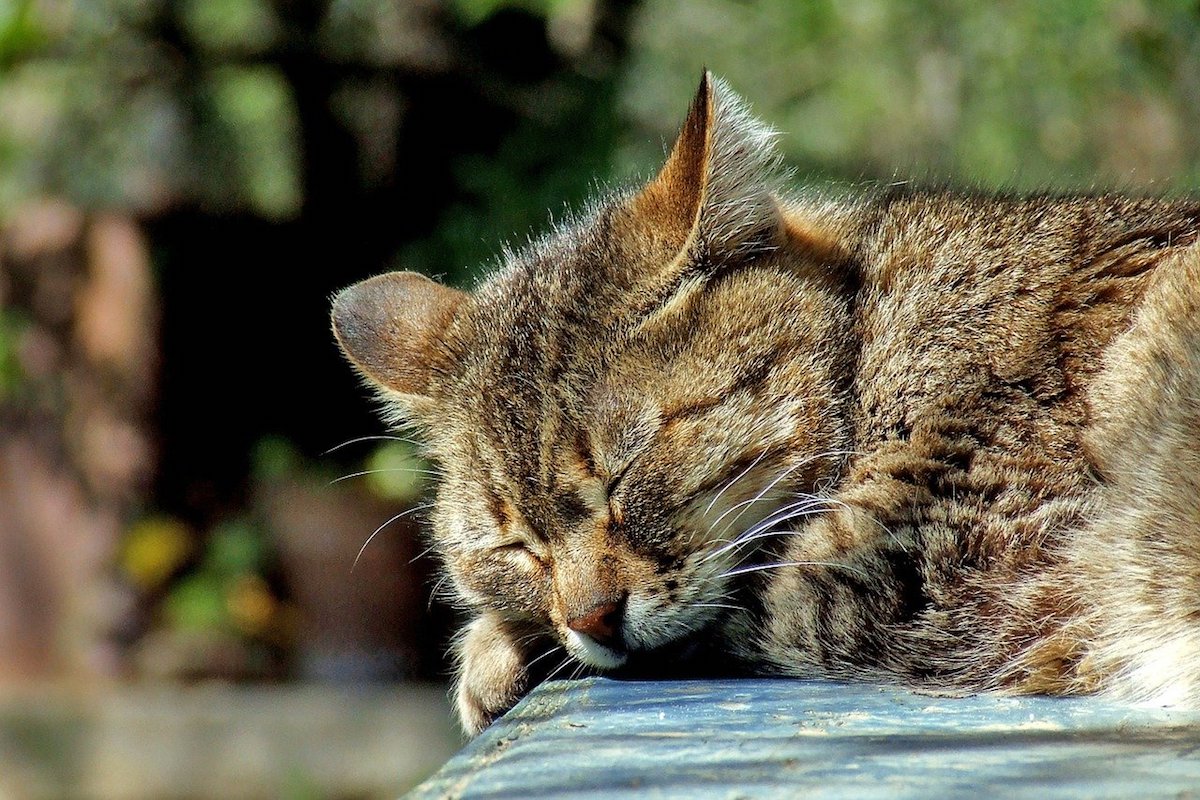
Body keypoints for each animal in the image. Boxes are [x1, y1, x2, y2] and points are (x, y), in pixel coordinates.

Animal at [328, 71, 1200, 734]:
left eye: (623, 476)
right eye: (515, 546)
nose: (592, 620)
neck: (876, 339)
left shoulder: (922, 566)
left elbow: (726, 606)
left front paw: (491, 650)